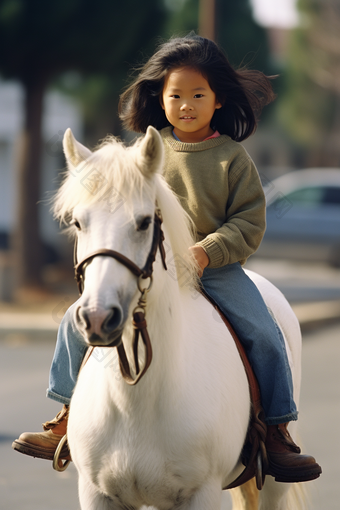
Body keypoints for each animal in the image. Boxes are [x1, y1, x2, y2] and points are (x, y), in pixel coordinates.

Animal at [53, 126, 308, 510]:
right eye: (78, 222)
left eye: (144, 222)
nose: (98, 317)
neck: (137, 403)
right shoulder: (98, 494)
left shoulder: (201, 493)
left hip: (273, 486)